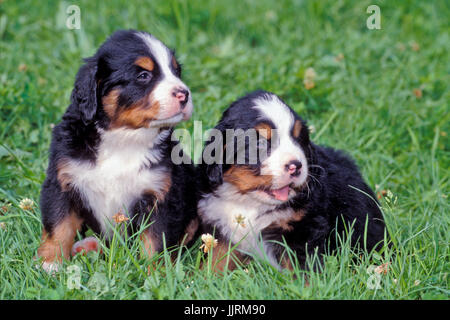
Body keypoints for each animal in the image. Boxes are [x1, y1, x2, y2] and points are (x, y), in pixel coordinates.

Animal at [37, 29, 200, 272]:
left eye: (176, 71)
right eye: (143, 75)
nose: (184, 94)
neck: (123, 138)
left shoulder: (161, 194)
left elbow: (155, 240)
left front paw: (154, 272)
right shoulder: (62, 182)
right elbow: (58, 226)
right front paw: (50, 263)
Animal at [199, 90, 388, 272]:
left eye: (299, 139)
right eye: (260, 142)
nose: (296, 166)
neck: (250, 202)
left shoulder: (303, 229)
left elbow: (304, 270)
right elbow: (217, 260)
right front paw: (206, 278)